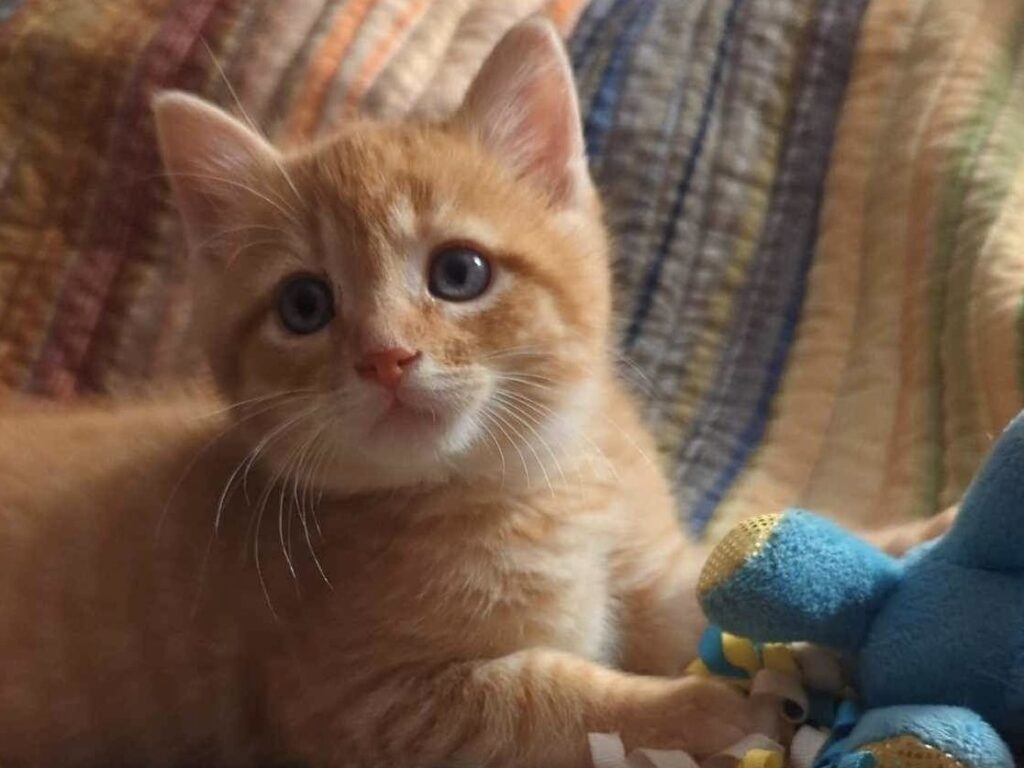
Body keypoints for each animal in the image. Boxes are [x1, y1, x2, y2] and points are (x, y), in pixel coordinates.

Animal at [0, 16, 946, 768]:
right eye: (305, 305)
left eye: (460, 273)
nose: (386, 356)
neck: (534, 485)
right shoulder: (358, 706)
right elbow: (545, 698)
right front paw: (701, 712)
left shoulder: (648, 568)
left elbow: (722, 566)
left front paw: (910, 544)